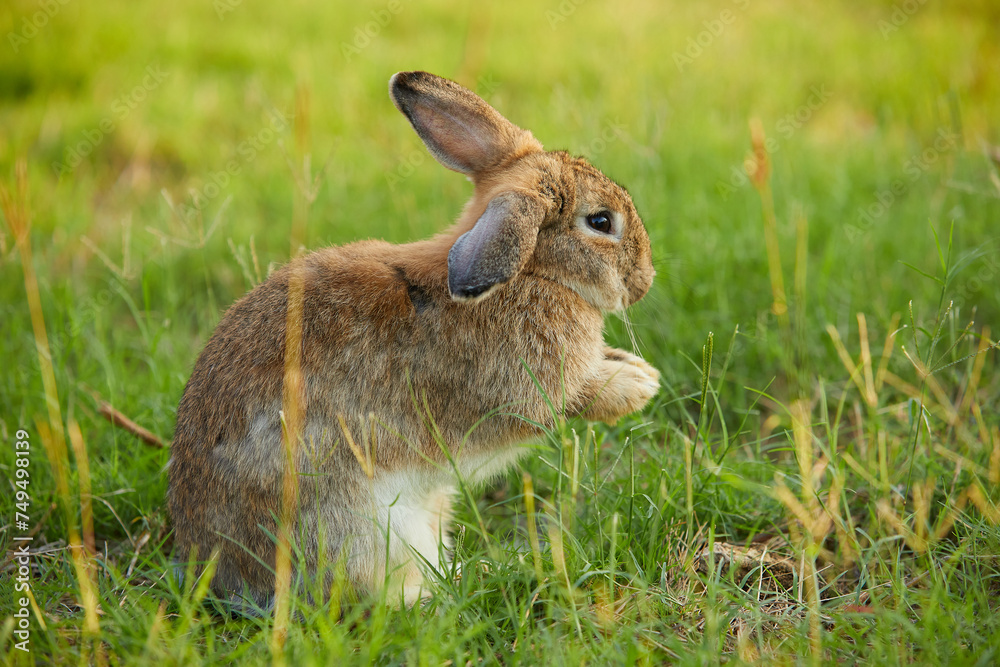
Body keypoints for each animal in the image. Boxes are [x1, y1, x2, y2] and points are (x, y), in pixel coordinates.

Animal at [167, 70, 660, 610]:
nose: (645, 281)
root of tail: (220, 571)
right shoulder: (525, 388)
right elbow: (570, 399)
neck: (532, 272)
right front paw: (637, 388)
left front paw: (640, 370)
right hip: (362, 525)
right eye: (601, 222)